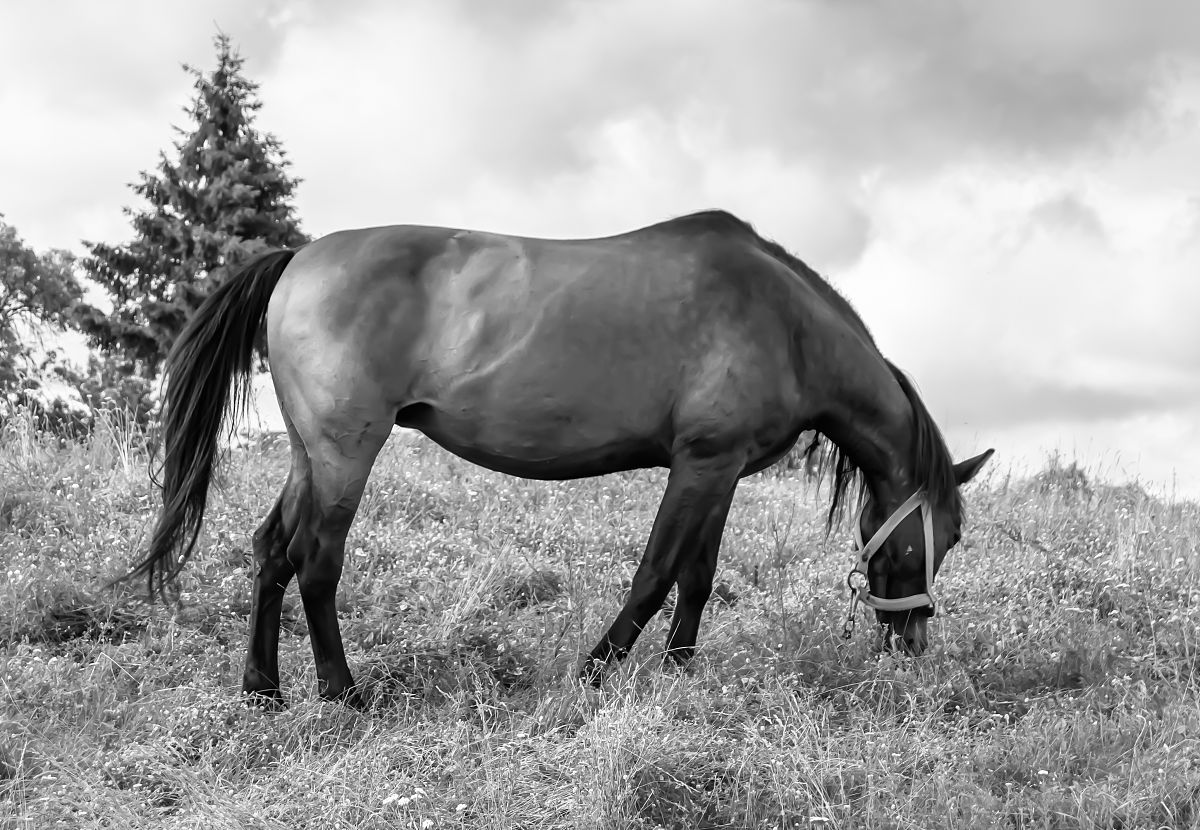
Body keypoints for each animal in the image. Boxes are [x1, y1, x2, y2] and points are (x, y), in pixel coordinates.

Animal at [128, 210, 992, 705]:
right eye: (943, 536)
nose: (912, 643)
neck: (785, 323)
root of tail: (298, 258)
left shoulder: (722, 471)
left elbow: (698, 577)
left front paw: (680, 674)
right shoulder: (701, 463)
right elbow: (656, 574)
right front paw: (596, 671)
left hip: (311, 454)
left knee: (272, 549)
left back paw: (263, 690)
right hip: (346, 452)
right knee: (316, 560)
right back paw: (342, 694)